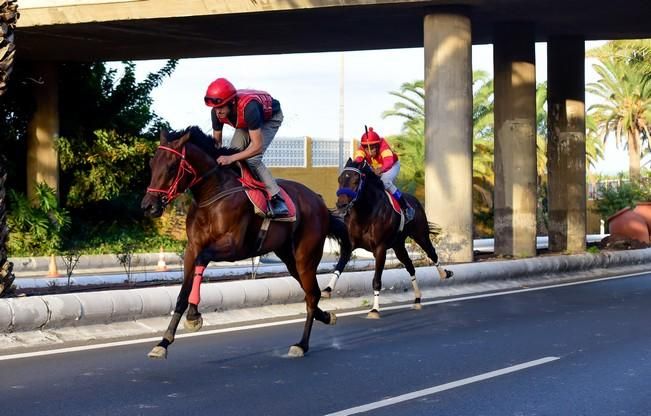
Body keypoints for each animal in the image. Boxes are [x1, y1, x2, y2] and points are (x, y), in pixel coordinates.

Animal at [141, 126, 352, 358]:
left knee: (312, 295)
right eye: (152, 164)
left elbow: (202, 259)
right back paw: (326, 316)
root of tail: (318, 201)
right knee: (311, 292)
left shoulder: (234, 247)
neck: (213, 194)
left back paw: (301, 344)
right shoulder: (192, 247)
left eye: (171, 167)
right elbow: (182, 293)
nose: (148, 206)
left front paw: (194, 316)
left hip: (306, 256)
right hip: (290, 259)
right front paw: (163, 342)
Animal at [324, 158, 454, 318]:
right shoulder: (349, 245)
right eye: (340, 179)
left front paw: (374, 310)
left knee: (432, 253)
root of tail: (415, 201)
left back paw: (444, 273)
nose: (341, 204)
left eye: (356, 180)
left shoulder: (380, 249)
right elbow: (339, 267)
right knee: (410, 266)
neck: (365, 213)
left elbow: (376, 280)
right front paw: (327, 290)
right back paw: (417, 299)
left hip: (421, 235)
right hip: (398, 246)